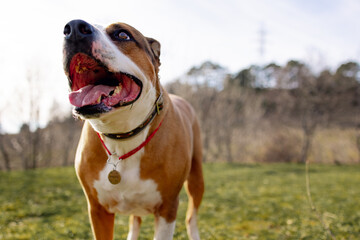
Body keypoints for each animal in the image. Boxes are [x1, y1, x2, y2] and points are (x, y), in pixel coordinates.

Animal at [62, 19, 205, 240]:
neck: (122, 137)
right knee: (135, 220)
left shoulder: (167, 209)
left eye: (122, 35)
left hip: (197, 177)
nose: (75, 28)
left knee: (191, 216)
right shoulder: (98, 211)